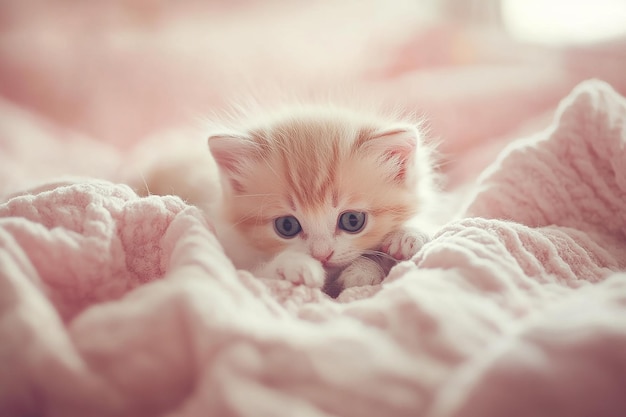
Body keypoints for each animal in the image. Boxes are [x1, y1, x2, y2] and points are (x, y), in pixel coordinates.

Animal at [202, 102, 436, 294]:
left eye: (352, 220)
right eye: (286, 226)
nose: (322, 255)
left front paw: (406, 234)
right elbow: (251, 274)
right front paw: (295, 265)